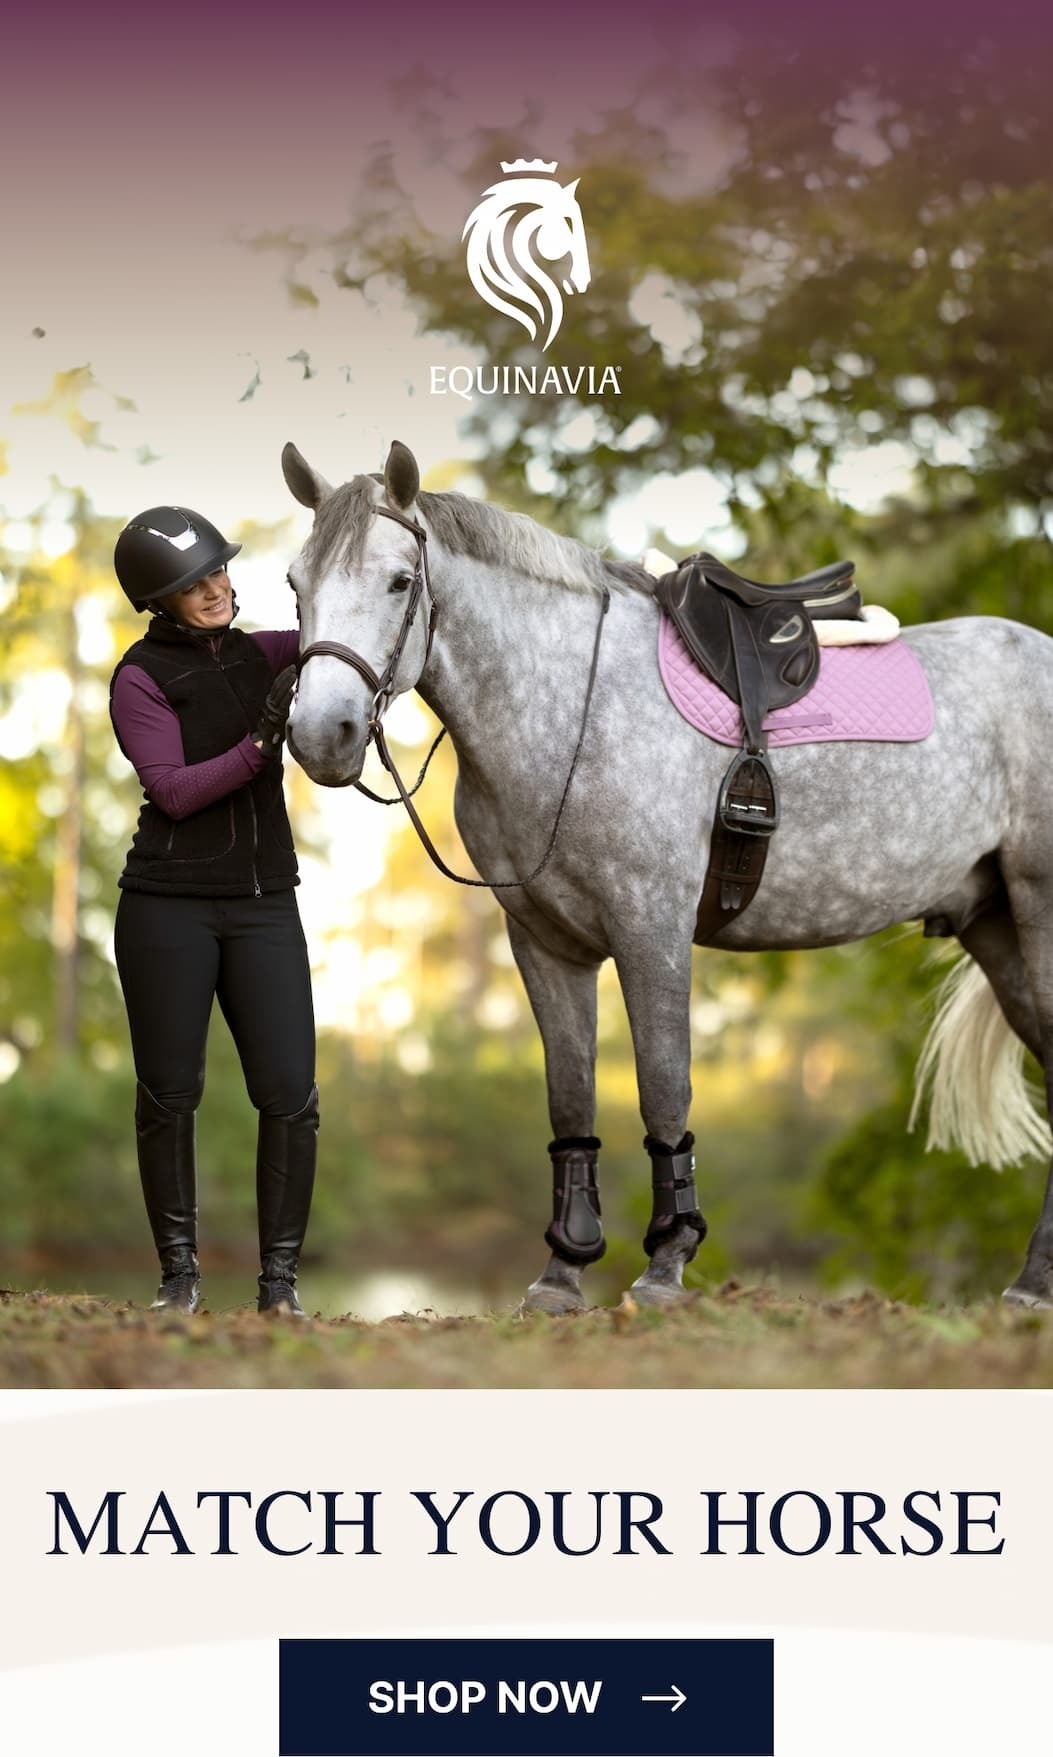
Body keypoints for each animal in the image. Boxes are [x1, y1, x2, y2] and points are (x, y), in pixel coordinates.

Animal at [281, 438, 1053, 1314]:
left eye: (399, 580)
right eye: (296, 584)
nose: (323, 735)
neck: (571, 708)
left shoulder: (649, 926)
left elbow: (662, 1084)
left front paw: (665, 1262)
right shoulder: (544, 942)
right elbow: (571, 1093)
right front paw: (563, 1270)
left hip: (1037, 913)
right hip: (995, 928)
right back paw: (1030, 1283)